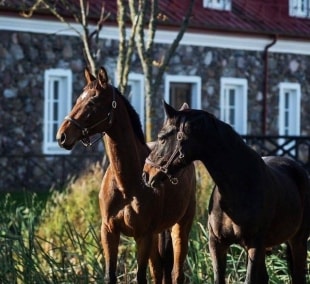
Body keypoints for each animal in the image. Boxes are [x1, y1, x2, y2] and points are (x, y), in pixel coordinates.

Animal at [55, 67, 196, 282]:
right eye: (78, 99)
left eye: (92, 102)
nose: (62, 136)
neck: (126, 184)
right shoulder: (109, 232)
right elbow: (111, 275)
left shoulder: (143, 236)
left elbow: (140, 277)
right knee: (158, 272)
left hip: (180, 227)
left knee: (176, 273)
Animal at [143, 102, 310, 284]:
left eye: (162, 138)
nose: (146, 174)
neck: (237, 188)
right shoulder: (217, 244)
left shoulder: (254, 245)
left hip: (298, 241)